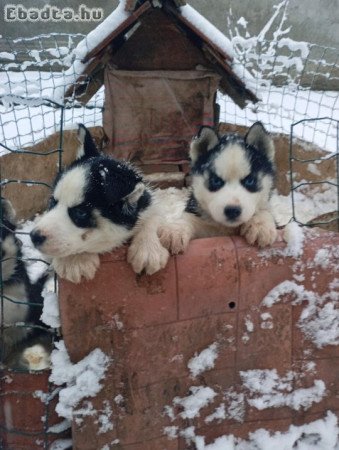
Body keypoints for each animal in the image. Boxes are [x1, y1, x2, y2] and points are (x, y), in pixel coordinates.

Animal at [29, 124, 170, 282]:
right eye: (52, 202)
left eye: (80, 212)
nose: (34, 236)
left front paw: (148, 249)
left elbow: (153, 216)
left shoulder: (147, 203)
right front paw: (75, 260)